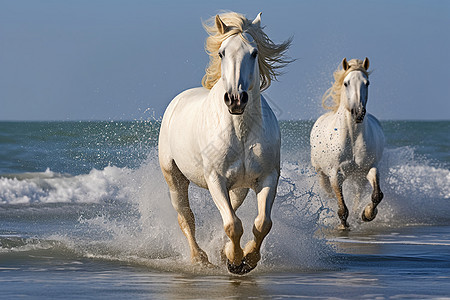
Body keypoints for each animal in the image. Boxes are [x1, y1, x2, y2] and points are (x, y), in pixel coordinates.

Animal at [158, 11, 292, 274]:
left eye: (254, 52)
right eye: (221, 53)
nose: (236, 100)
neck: (241, 131)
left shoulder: (268, 177)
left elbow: (262, 223)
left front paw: (245, 259)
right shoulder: (215, 180)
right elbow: (232, 224)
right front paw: (235, 261)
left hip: (239, 187)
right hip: (174, 177)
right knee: (186, 217)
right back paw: (199, 258)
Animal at [312, 56, 384, 230]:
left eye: (367, 83)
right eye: (346, 83)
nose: (358, 113)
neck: (352, 138)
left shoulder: (370, 168)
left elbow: (377, 195)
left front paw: (368, 214)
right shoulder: (335, 175)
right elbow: (342, 207)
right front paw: (343, 226)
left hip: (358, 178)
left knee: (358, 195)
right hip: (321, 174)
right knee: (330, 195)